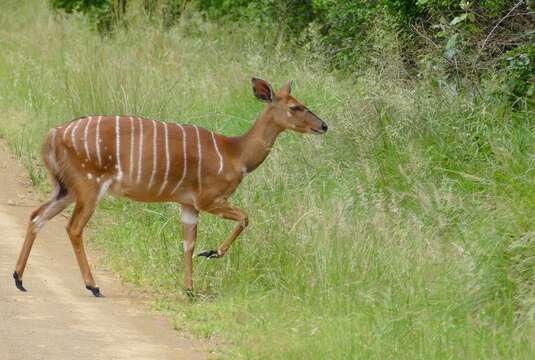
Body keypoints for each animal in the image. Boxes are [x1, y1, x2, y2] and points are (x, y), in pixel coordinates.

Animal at [13, 77, 326, 296]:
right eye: (295, 106)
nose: (323, 125)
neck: (236, 155)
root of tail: (53, 135)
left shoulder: (187, 204)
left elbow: (188, 243)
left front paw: (189, 289)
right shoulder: (208, 199)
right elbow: (245, 218)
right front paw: (212, 253)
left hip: (64, 188)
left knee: (37, 216)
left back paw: (19, 279)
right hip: (89, 186)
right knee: (73, 228)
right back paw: (93, 286)